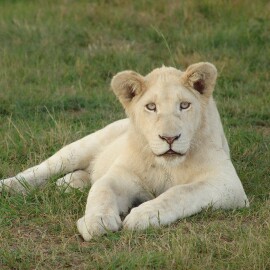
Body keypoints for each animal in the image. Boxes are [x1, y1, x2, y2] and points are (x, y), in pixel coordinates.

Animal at [0, 62, 249, 240]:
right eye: (151, 107)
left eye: (184, 105)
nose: (169, 138)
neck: (167, 166)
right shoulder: (122, 175)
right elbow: (101, 190)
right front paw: (96, 222)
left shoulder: (228, 183)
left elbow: (181, 192)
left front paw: (144, 215)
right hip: (80, 148)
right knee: (42, 170)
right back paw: (8, 185)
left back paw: (68, 183)